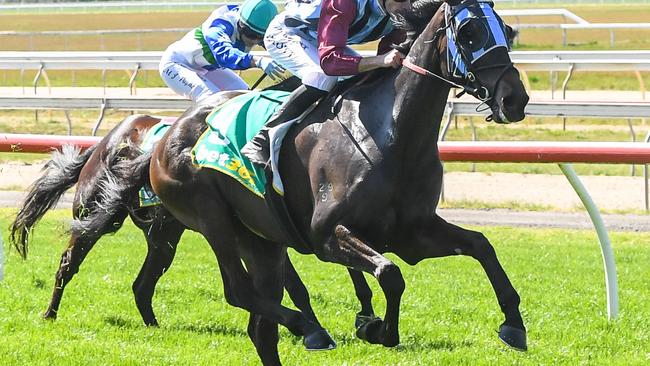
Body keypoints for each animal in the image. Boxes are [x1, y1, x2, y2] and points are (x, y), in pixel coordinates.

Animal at [142, 1, 528, 364]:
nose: (515, 99)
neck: (393, 135)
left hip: (260, 239)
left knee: (261, 328)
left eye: (508, 31)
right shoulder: (326, 235)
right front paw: (377, 328)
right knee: (238, 291)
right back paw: (307, 326)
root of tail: (167, 135)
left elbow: (481, 245)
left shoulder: (412, 233)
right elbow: (390, 273)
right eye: (469, 32)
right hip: (213, 218)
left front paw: (514, 325)